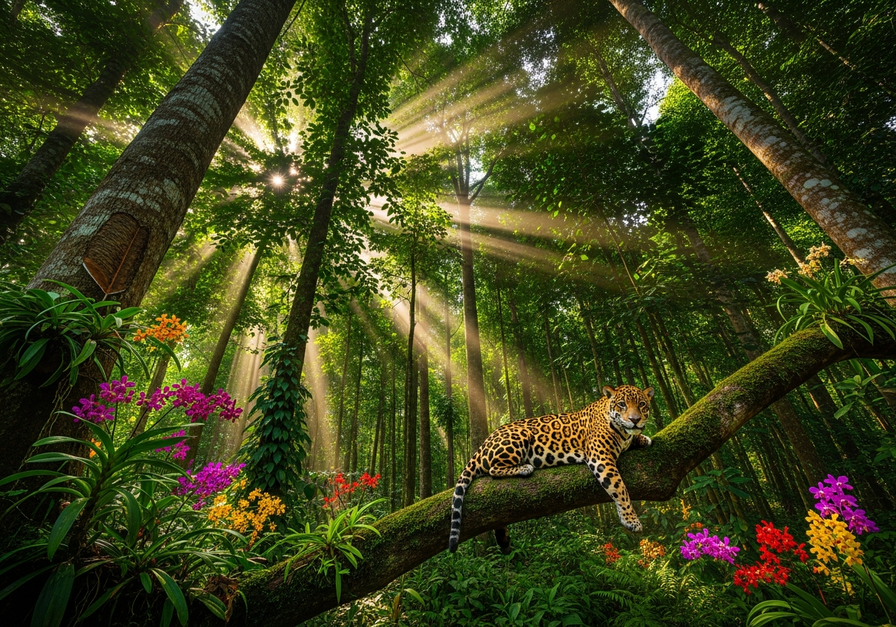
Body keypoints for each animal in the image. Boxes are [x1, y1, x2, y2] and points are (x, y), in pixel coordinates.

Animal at [448, 384, 655, 553]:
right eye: (622, 404)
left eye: (642, 405)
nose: (635, 419)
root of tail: (483, 444)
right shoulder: (600, 458)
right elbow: (619, 488)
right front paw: (631, 520)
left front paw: (643, 438)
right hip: (518, 436)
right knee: (492, 469)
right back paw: (524, 468)